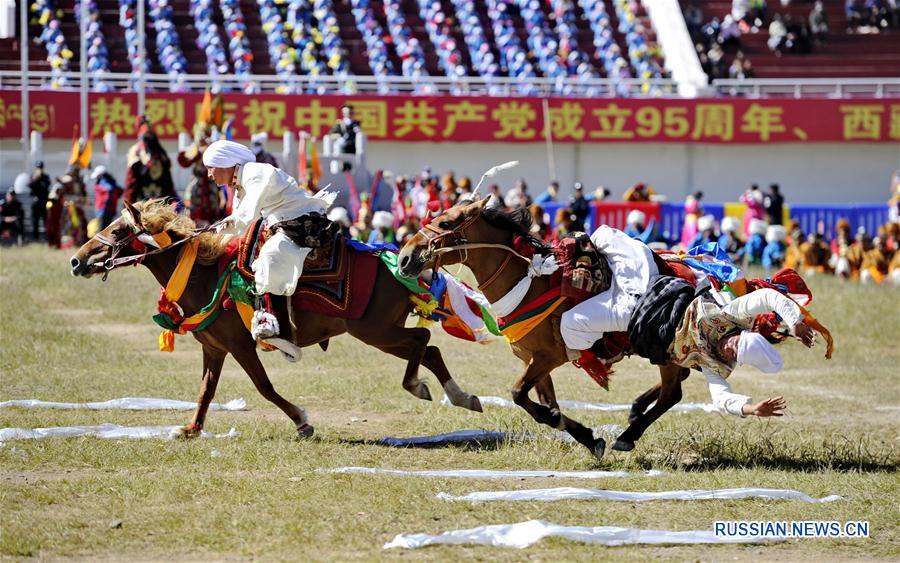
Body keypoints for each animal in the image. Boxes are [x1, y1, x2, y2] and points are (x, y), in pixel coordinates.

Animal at [68, 200, 486, 438]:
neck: (205, 277)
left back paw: (419, 386)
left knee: (422, 343)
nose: (76, 260)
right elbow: (206, 391)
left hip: (375, 331)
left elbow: (264, 387)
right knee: (429, 350)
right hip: (380, 332)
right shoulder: (214, 349)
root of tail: (402, 262)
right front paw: (191, 429)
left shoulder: (239, 346)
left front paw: (302, 421)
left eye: (118, 231)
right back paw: (462, 396)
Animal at [400, 200, 688, 460]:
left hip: (665, 352)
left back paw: (629, 434)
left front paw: (568, 426)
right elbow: (547, 403)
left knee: (672, 393)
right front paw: (586, 436)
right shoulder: (533, 359)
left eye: (445, 224)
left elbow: (518, 394)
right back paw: (636, 409)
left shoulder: (549, 357)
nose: (404, 257)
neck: (529, 286)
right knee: (676, 383)